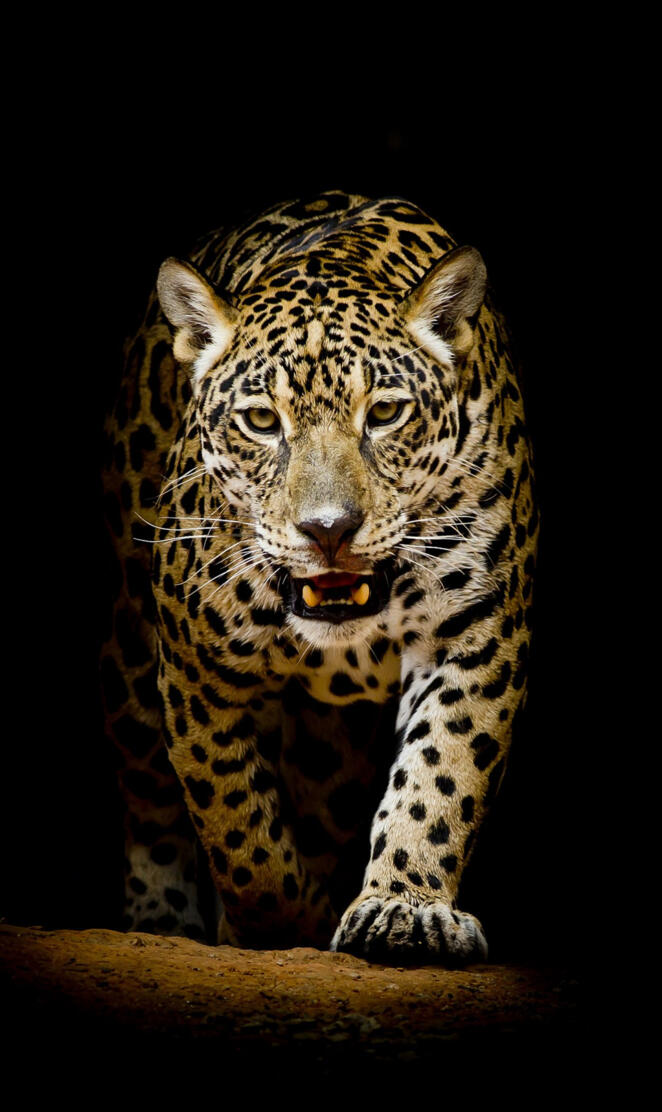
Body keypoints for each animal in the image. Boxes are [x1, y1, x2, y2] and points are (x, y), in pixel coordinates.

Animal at [101, 190, 538, 964]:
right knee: (149, 795)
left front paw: (403, 909)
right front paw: (279, 923)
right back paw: (159, 917)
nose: (329, 529)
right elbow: (235, 822)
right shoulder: (194, 668)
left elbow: (442, 772)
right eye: (260, 420)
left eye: (386, 413)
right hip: (129, 657)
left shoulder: (476, 635)